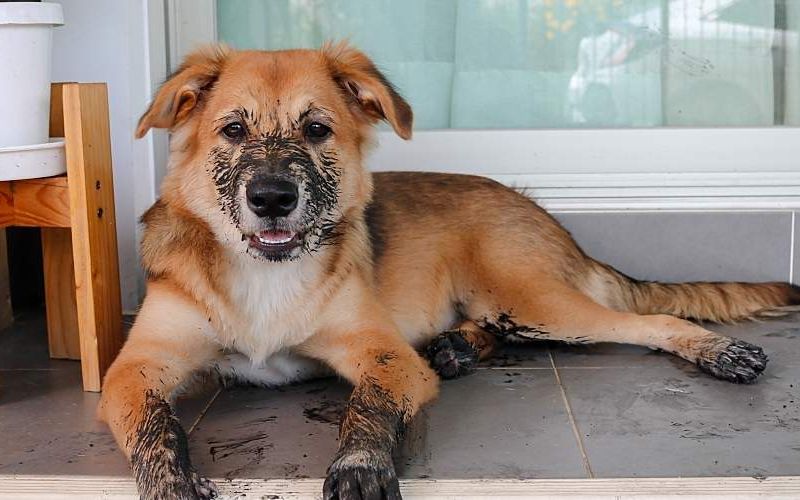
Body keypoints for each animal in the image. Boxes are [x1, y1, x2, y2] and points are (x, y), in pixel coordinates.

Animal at [98, 44, 800, 500]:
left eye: (317, 129)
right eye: (234, 130)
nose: (272, 198)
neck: (263, 273)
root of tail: (542, 213)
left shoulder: (385, 357)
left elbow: (368, 409)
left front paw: (360, 466)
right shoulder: (134, 369)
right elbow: (155, 428)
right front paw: (171, 485)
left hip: (533, 299)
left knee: (648, 319)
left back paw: (721, 352)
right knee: (503, 332)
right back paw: (457, 347)